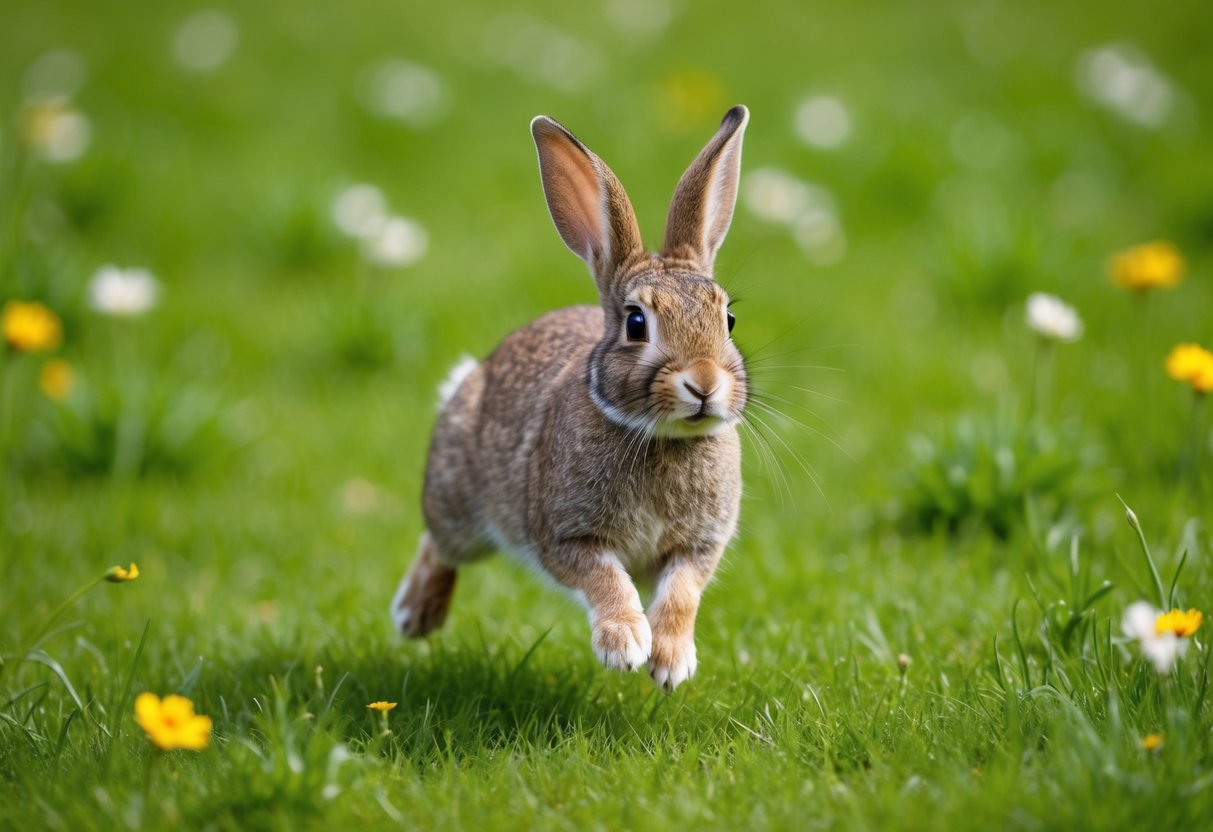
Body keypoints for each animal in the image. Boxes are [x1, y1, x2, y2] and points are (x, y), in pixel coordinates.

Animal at [391, 106, 751, 690]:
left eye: (730, 320)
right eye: (636, 323)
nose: (704, 382)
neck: (660, 438)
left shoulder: (699, 545)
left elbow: (681, 592)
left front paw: (671, 662)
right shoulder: (565, 534)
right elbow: (605, 578)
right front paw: (624, 644)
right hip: (462, 504)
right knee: (440, 541)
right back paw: (416, 614)